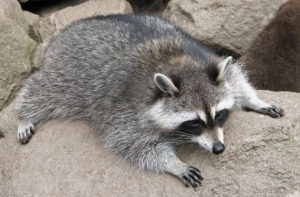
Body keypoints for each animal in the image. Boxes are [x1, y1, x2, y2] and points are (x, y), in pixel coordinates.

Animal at [16, 14, 284, 187]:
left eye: (219, 115)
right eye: (195, 123)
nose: (219, 149)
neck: (179, 63)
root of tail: (64, 33)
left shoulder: (209, 60)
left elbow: (237, 80)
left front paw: (255, 100)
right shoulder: (126, 111)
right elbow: (131, 143)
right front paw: (173, 163)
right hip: (67, 74)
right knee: (43, 89)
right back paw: (24, 115)